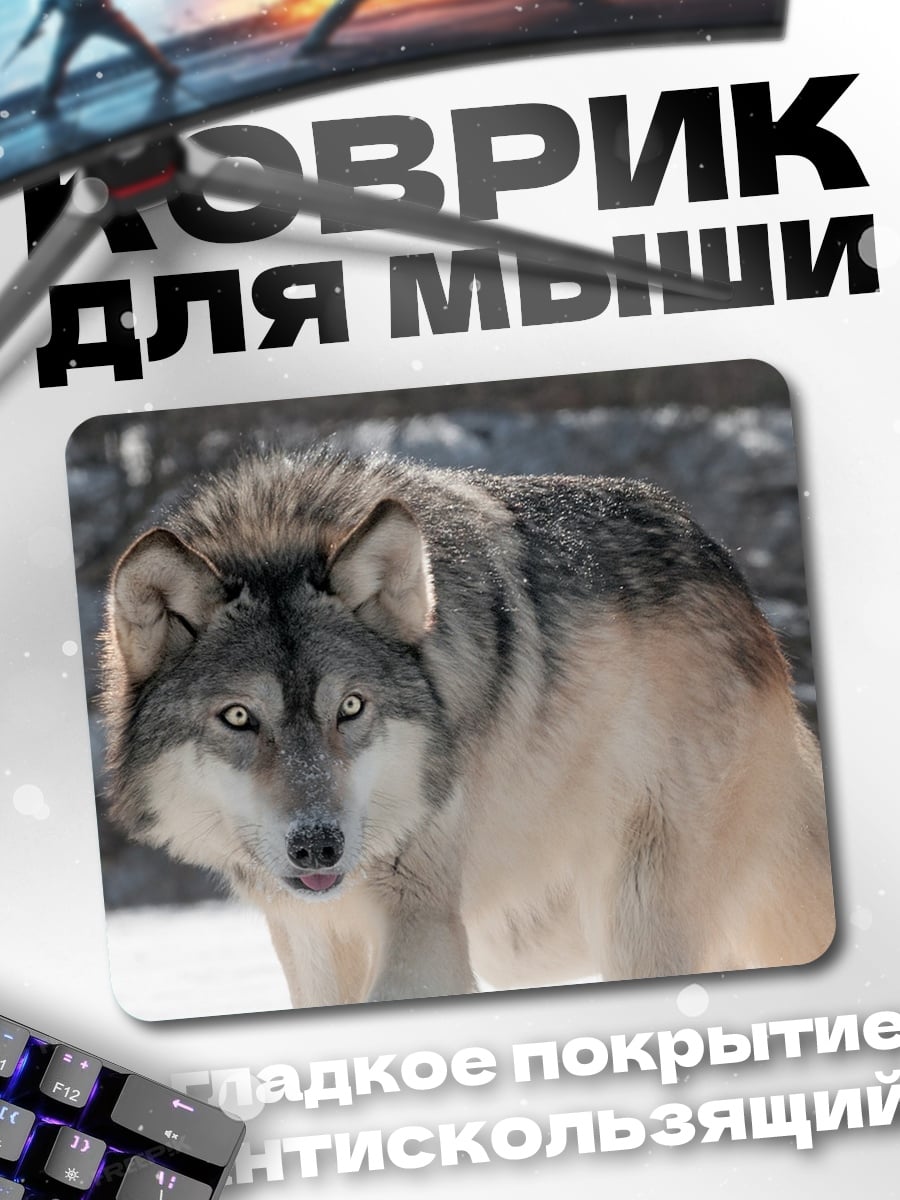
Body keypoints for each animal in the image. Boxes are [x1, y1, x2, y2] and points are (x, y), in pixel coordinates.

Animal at [100, 447, 834, 1006]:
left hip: (638, 921)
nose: (318, 847)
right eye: (239, 717)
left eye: (351, 707)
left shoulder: (422, 918)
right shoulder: (314, 937)